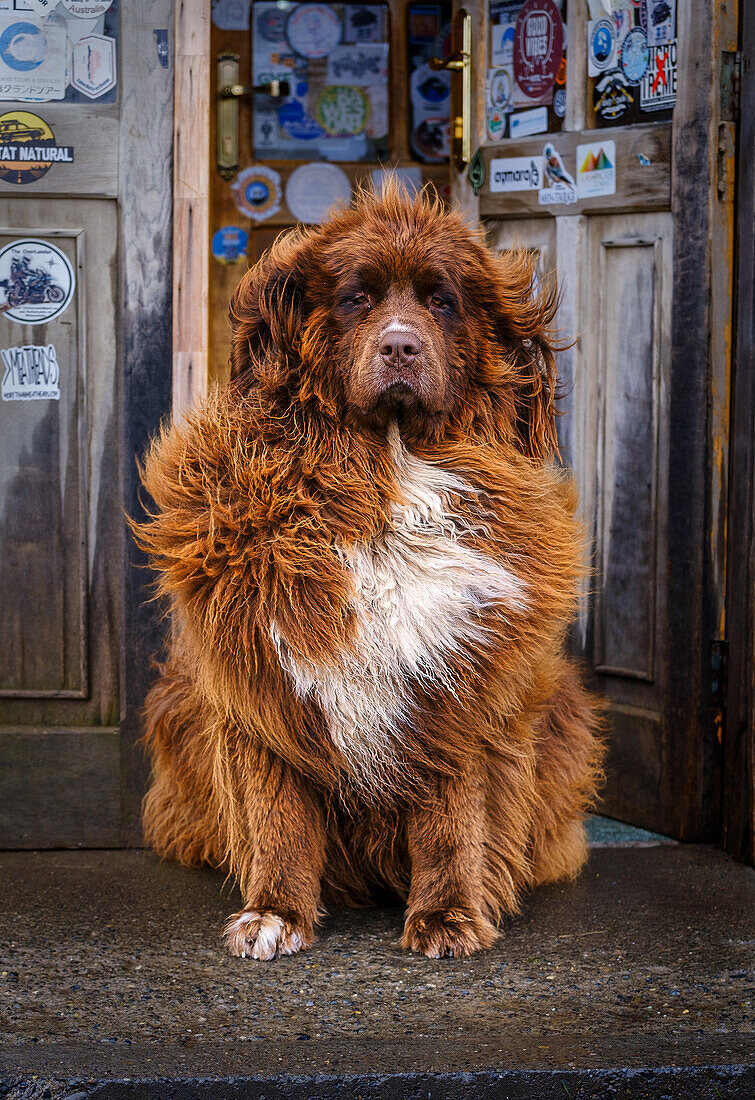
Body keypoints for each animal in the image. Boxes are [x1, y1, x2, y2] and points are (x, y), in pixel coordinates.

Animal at [134, 184, 603, 959]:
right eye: (356, 298)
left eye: (442, 301)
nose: (400, 345)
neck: (388, 468)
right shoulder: (262, 683)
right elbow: (277, 815)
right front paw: (274, 914)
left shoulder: (463, 686)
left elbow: (452, 817)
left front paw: (448, 915)